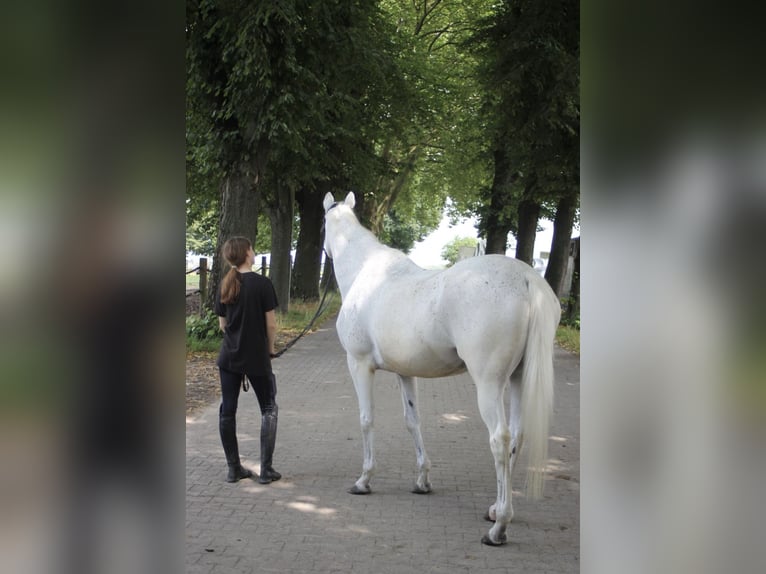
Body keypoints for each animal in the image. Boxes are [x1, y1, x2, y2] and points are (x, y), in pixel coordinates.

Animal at [320, 194, 560, 548]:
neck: (366, 272)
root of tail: (527, 280)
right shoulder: (404, 372)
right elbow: (412, 421)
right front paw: (422, 480)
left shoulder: (359, 364)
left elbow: (366, 420)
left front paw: (364, 480)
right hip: (517, 379)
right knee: (517, 435)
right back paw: (494, 510)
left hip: (489, 384)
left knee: (500, 439)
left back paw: (499, 527)